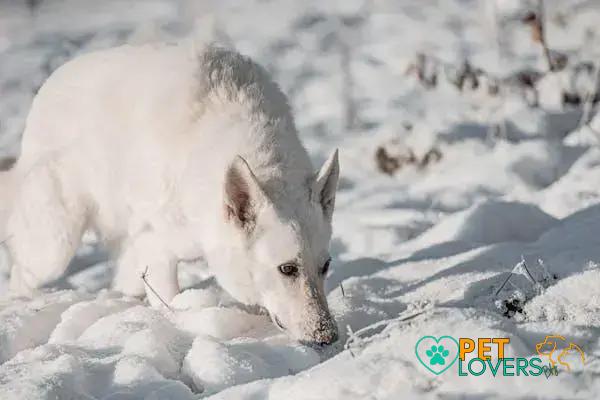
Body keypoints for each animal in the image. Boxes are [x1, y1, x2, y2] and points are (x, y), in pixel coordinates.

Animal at [0, 43, 340, 344]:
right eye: (287, 269)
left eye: (325, 266)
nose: (328, 337)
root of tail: (49, 85)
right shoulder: (156, 247)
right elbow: (170, 302)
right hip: (55, 247)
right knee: (20, 275)